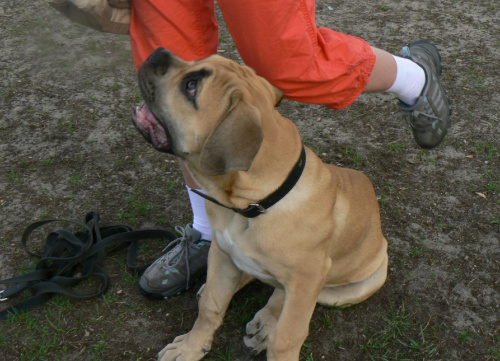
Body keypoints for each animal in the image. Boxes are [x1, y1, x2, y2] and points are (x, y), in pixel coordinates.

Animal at [131, 48, 388, 360]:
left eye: (191, 86)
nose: (158, 52)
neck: (253, 204)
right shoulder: (222, 251)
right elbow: (211, 306)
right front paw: (191, 346)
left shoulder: (307, 280)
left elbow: (287, 337)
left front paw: (272, 336)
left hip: (345, 289)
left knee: (287, 295)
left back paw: (266, 324)